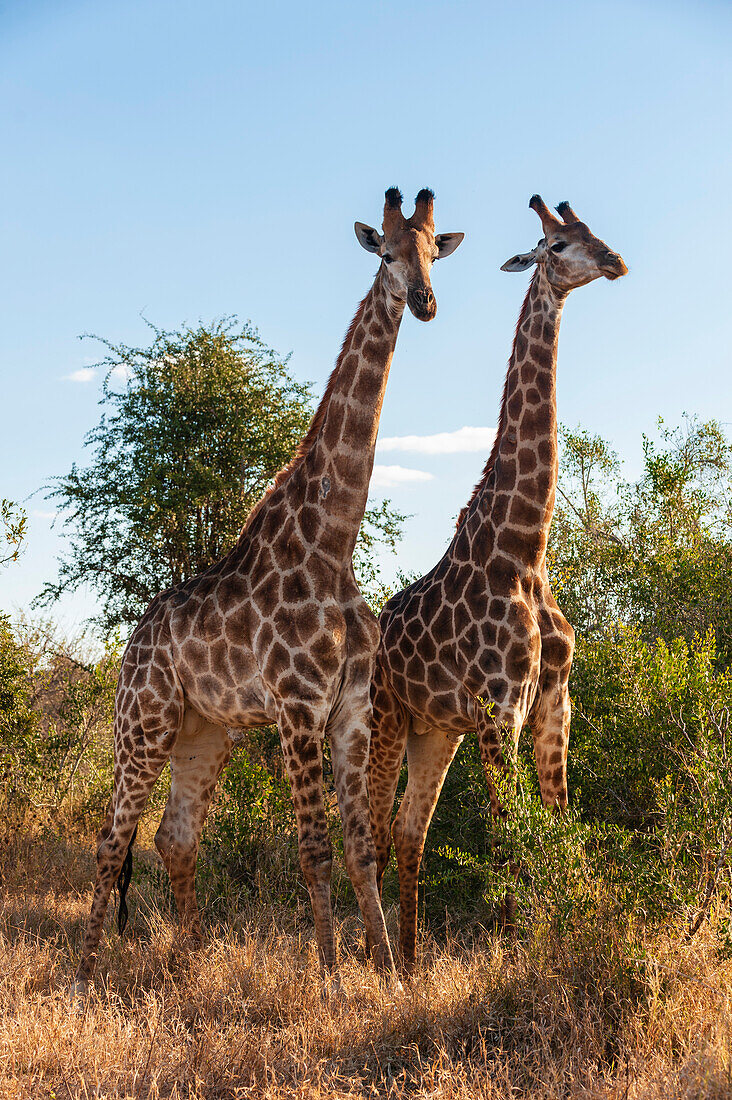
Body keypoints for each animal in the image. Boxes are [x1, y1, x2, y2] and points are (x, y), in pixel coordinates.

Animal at [74, 184, 462, 994]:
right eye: (386, 252)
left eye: (434, 252)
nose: (423, 302)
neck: (331, 542)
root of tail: (133, 641)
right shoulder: (297, 708)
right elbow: (313, 848)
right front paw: (334, 984)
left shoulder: (351, 711)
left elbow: (361, 846)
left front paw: (390, 978)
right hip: (143, 720)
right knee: (111, 837)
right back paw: (84, 979)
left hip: (204, 732)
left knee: (174, 836)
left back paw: (188, 967)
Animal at [367, 198, 625, 972]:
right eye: (557, 243)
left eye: (595, 229)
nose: (615, 262)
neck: (524, 551)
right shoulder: (497, 711)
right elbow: (507, 837)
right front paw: (513, 954)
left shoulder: (552, 701)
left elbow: (559, 823)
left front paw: (575, 933)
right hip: (388, 719)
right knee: (369, 830)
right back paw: (381, 962)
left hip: (434, 732)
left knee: (408, 830)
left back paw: (411, 964)